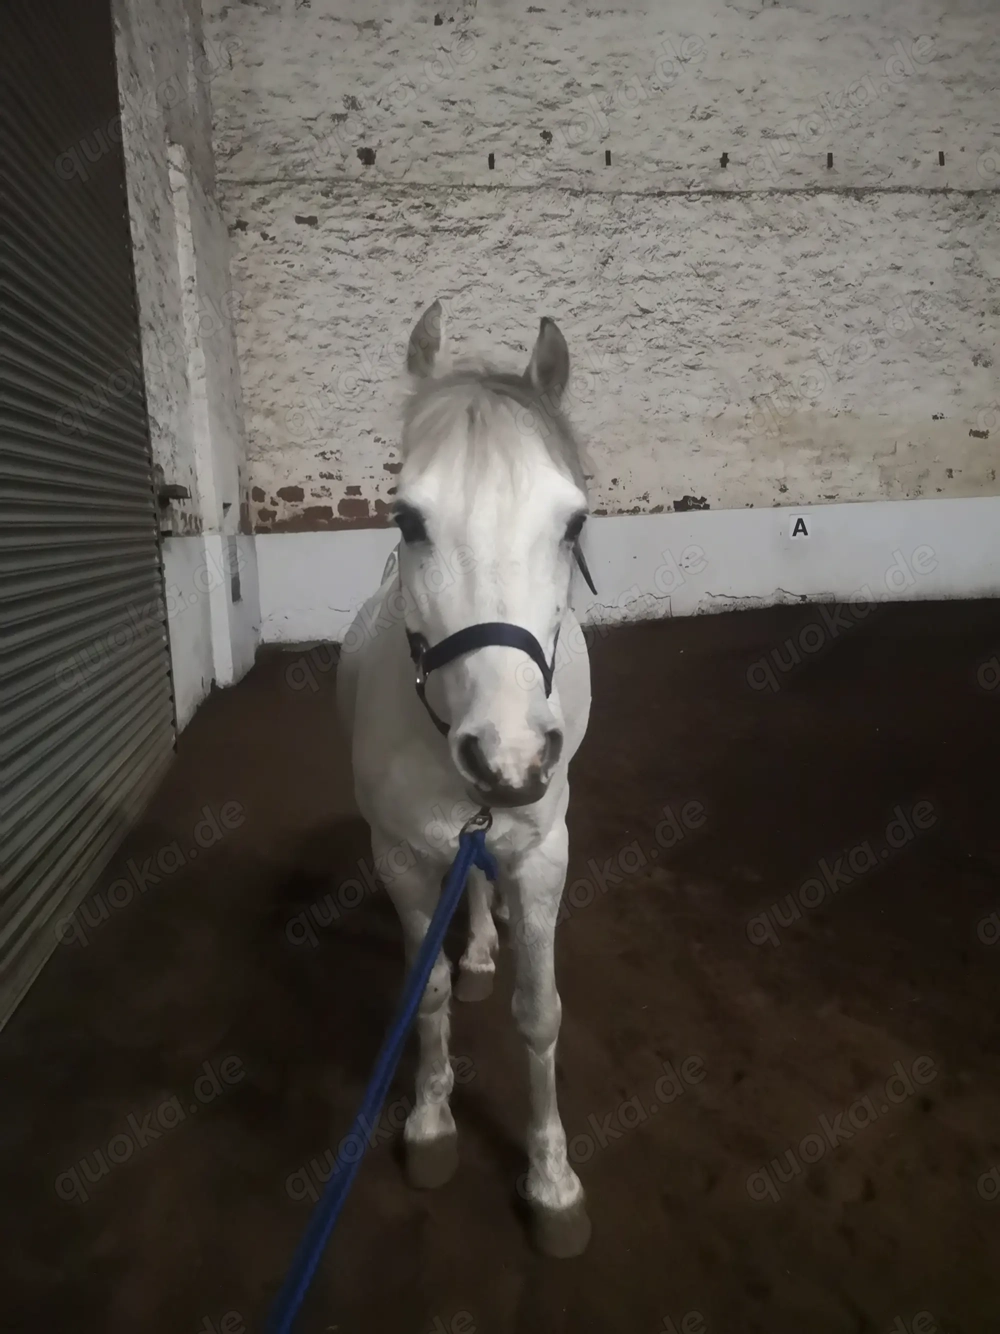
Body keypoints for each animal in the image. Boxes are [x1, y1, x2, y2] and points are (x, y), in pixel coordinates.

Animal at [336, 300, 594, 1257]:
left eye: (573, 524)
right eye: (408, 520)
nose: (511, 757)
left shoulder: (544, 853)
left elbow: (539, 1010)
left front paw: (552, 1181)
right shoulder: (402, 858)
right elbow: (430, 989)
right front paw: (432, 1125)